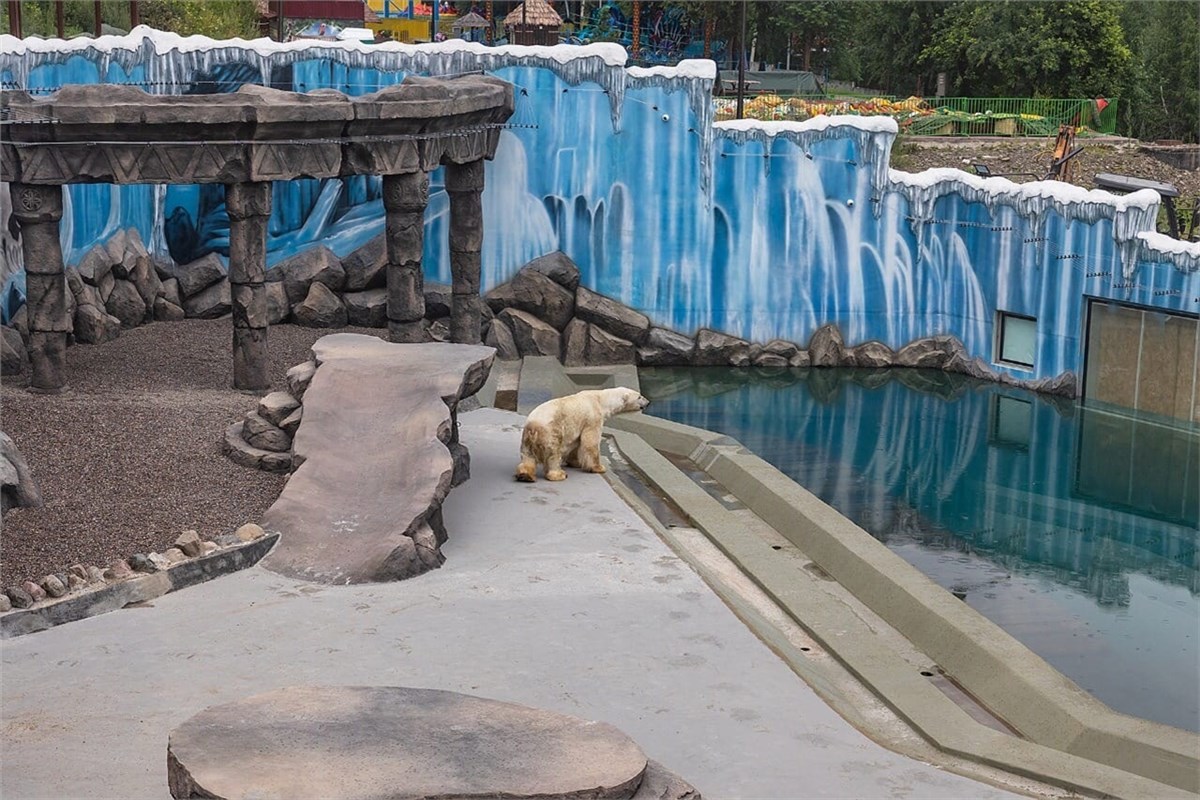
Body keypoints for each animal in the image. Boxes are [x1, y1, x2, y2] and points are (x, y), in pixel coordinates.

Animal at [513, 388, 648, 482]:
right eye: (639, 396)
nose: (648, 402)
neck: (601, 400)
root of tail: (533, 427)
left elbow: (576, 443)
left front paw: (576, 462)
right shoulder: (593, 418)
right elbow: (590, 442)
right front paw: (598, 468)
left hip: (526, 439)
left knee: (528, 457)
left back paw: (525, 475)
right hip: (551, 432)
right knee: (553, 454)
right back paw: (559, 474)